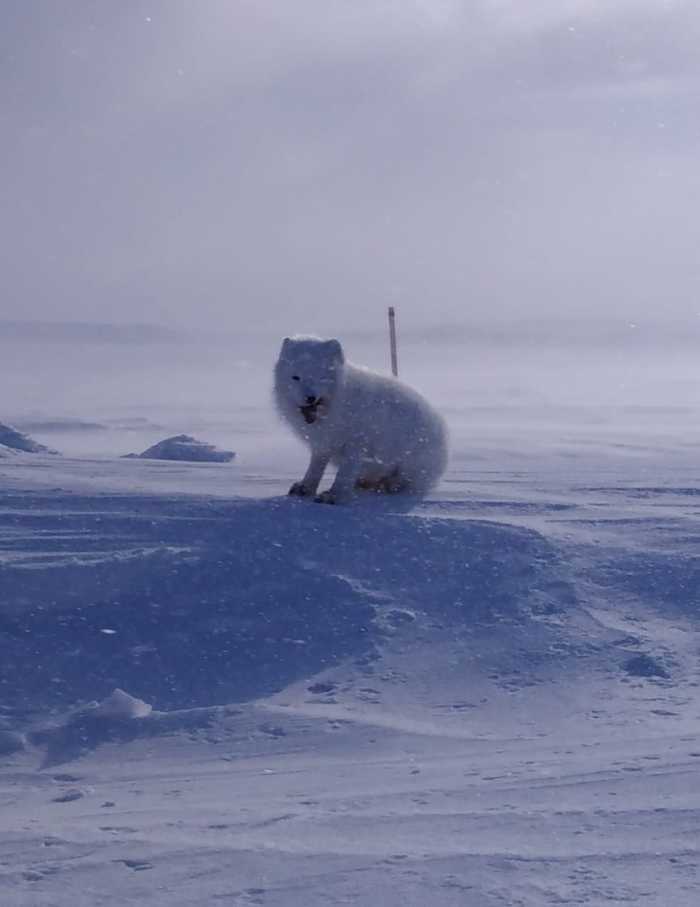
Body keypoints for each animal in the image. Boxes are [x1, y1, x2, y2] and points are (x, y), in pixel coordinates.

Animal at [274, 336, 448, 504]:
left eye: (321, 376)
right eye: (296, 377)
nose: (310, 398)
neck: (333, 407)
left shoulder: (356, 443)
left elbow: (345, 472)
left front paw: (335, 496)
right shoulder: (322, 444)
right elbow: (315, 468)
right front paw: (305, 488)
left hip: (411, 463)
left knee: (408, 483)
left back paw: (391, 485)